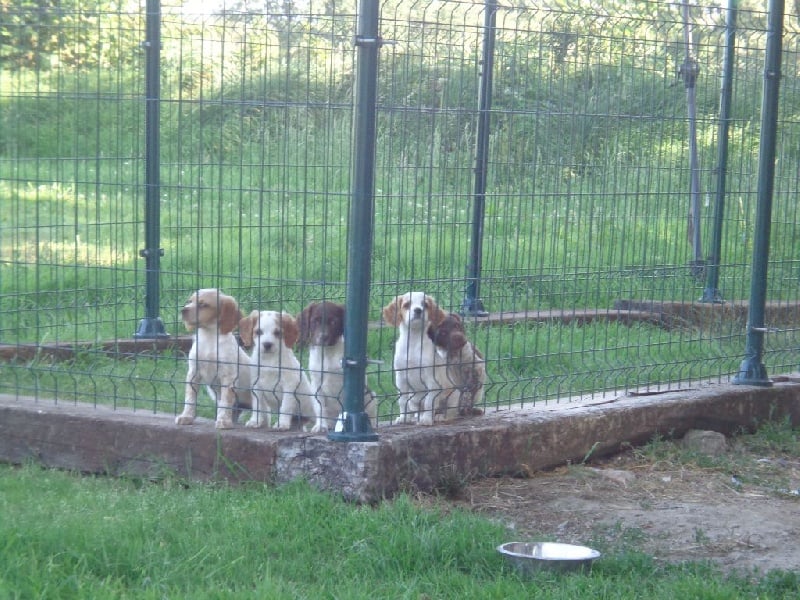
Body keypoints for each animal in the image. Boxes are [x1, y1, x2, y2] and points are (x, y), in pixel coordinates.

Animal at [177, 288, 253, 428]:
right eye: (189, 301)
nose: (183, 310)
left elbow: (225, 401)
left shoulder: (228, 376)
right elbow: (190, 398)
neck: (209, 337)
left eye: (203, 305)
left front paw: (223, 421)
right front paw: (186, 417)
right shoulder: (193, 373)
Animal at [296, 302, 378, 434]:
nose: (323, 337)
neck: (327, 353)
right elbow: (320, 408)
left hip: (371, 396)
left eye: (334, 322)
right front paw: (320, 426)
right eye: (315, 321)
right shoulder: (316, 385)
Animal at [382, 292, 450, 426]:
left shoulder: (431, 380)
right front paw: (403, 418)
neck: (413, 340)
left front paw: (427, 420)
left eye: (425, 305)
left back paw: (439, 416)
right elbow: (402, 400)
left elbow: (429, 401)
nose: (418, 310)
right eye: (407, 304)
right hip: (414, 399)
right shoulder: (401, 378)